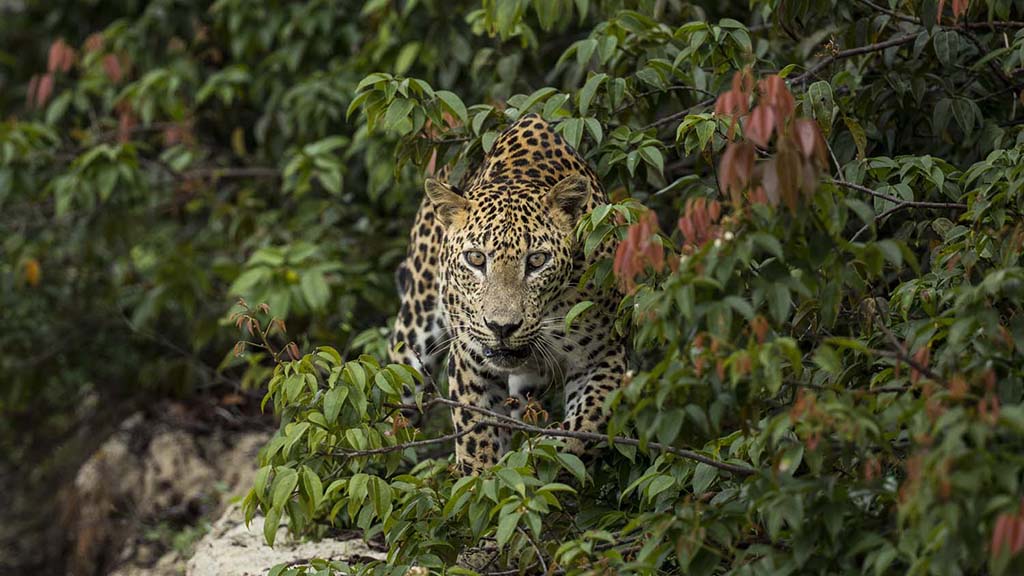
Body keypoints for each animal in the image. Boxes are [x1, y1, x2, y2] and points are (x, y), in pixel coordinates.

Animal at [387, 112, 622, 471]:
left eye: (537, 260)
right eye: (476, 258)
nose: (502, 327)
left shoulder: (604, 355)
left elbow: (586, 427)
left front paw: (546, 456)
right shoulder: (470, 361)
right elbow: (476, 438)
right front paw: (481, 477)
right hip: (413, 333)